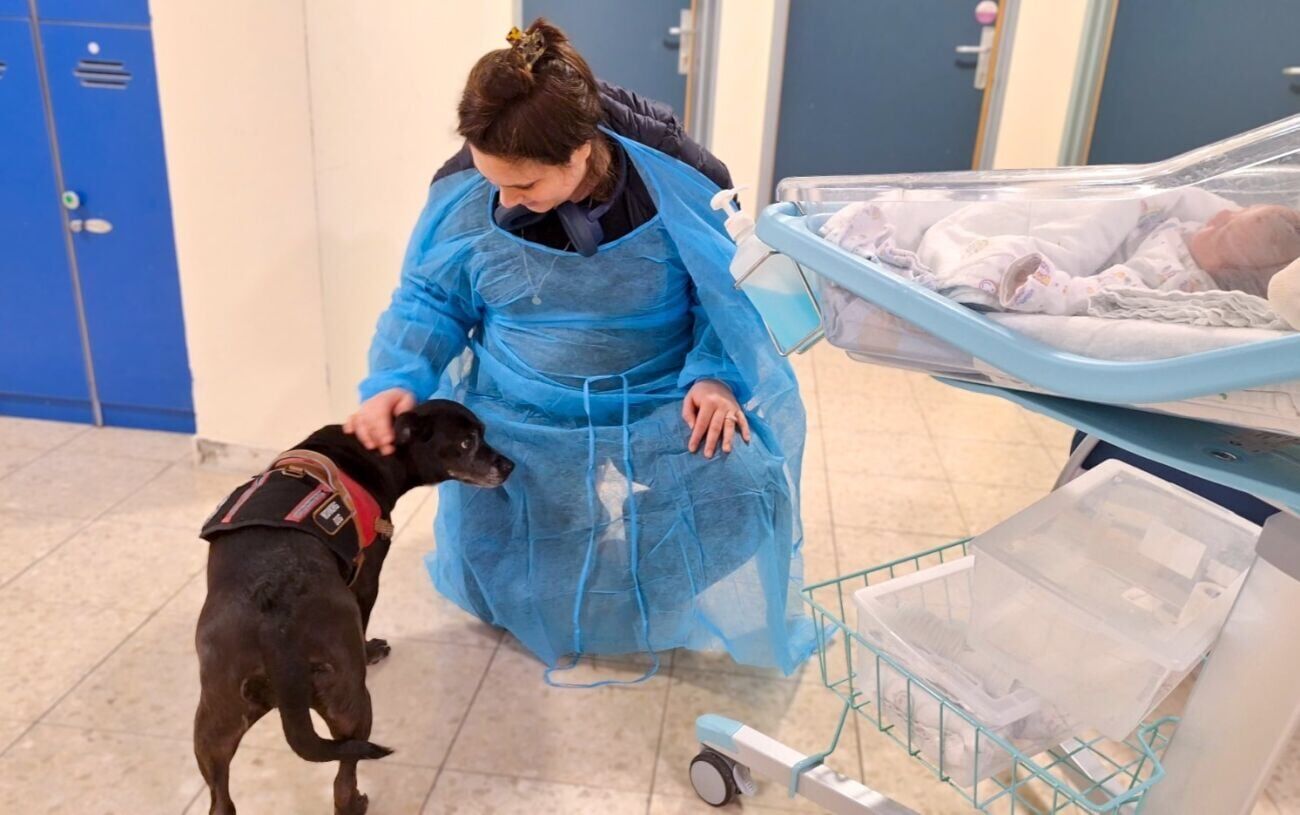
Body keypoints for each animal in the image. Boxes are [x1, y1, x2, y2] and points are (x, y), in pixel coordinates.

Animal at [193, 399, 513, 815]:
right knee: (344, 777)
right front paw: (371, 649)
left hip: (214, 721)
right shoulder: (367, 579)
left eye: (483, 434)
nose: (510, 465)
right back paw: (356, 801)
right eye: (466, 442)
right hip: (351, 703)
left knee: (221, 799)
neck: (366, 451)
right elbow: (364, 619)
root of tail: (275, 628)